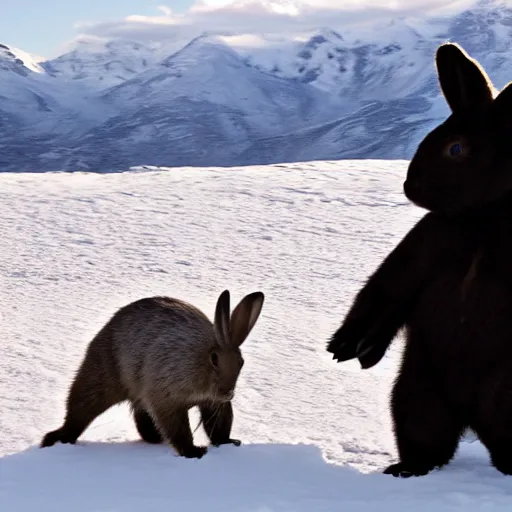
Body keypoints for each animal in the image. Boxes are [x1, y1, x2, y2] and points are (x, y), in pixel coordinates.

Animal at [41, 288, 264, 460]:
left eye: (241, 362)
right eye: (215, 359)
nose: (228, 392)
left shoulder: (212, 403)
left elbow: (218, 428)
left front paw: (229, 443)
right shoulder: (165, 399)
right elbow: (179, 431)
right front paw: (193, 452)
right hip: (101, 378)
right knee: (78, 411)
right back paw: (55, 439)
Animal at [328, 42, 512, 478]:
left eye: (456, 148)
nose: (409, 186)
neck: (479, 220)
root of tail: (469, 414)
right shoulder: (420, 250)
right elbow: (384, 293)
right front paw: (348, 347)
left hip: (504, 395)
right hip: (417, 390)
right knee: (427, 439)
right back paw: (405, 469)